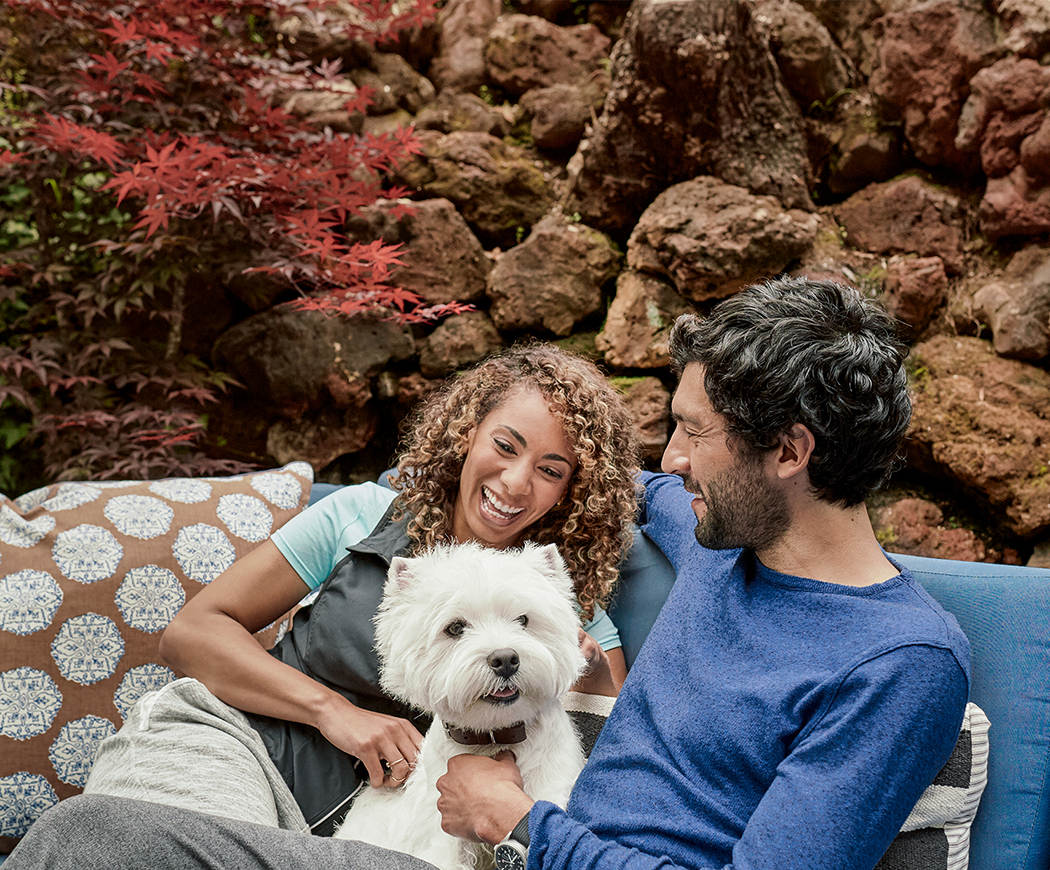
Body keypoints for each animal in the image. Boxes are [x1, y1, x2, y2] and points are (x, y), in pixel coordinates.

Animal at [333, 541, 588, 864]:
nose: (506, 659)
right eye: (455, 628)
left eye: (523, 620)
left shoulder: (555, 787)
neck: (494, 737)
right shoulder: (441, 830)